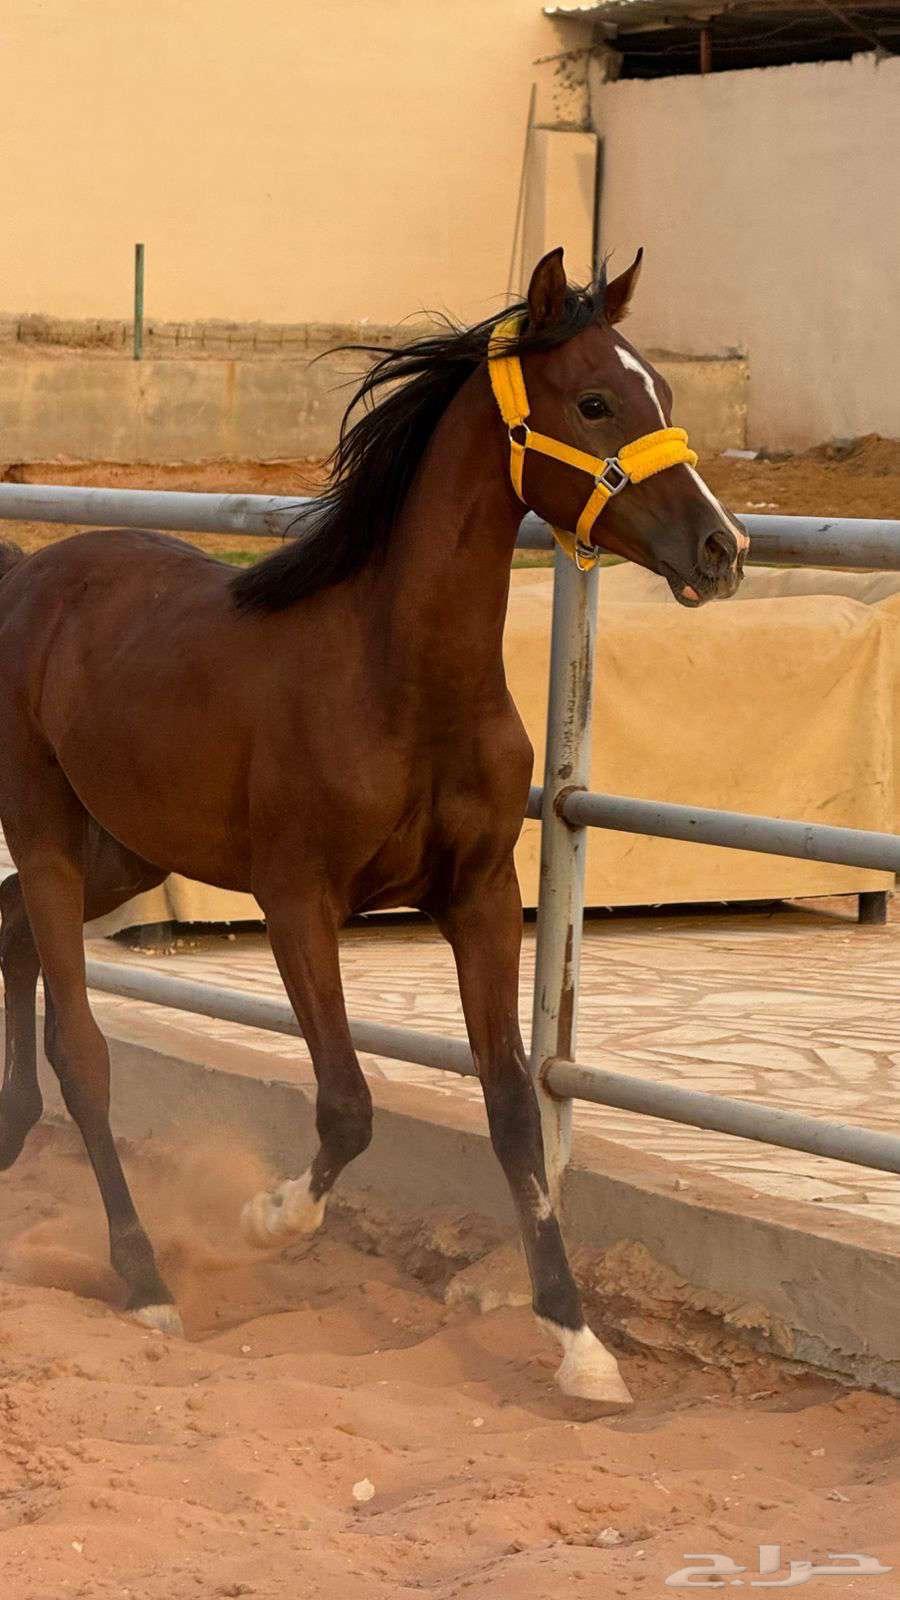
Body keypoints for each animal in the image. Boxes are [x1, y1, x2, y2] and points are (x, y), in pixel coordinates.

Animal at [0, 247, 745, 1409]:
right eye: (595, 401)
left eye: (663, 389)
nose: (722, 550)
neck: (403, 682)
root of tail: (29, 573)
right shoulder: (297, 899)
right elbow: (347, 1102)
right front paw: (266, 1218)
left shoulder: (481, 897)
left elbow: (512, 1105)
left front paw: (580, 1343)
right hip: (45, 834)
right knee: (81, 1047)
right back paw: (147, 1280)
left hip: (124, 847)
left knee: (9, 938)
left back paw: (8, 1140)